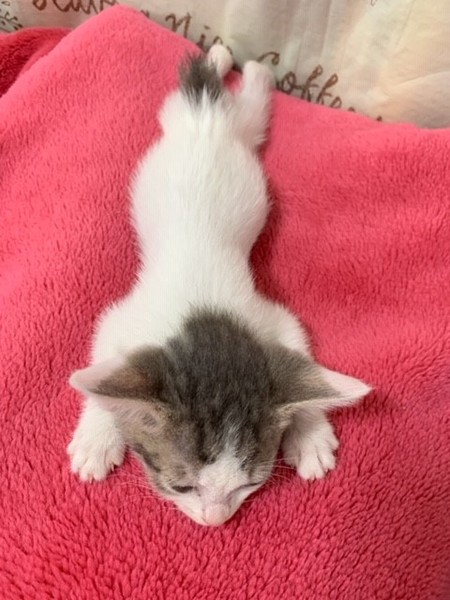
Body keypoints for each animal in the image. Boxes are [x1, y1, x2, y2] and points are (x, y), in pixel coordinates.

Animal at [68, 44, 370, 527]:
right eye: (182, 486)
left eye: (249, 485)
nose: (216, 521)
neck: (204, 312)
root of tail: (206, 118)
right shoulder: (123, 317)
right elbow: (98, 365)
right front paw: (97, 436)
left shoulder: (272, 318)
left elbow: (299, 353)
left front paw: (310, 433)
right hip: (177, 116)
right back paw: (224, 60)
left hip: (242, 133)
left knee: (248, 103)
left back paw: (236, 62)